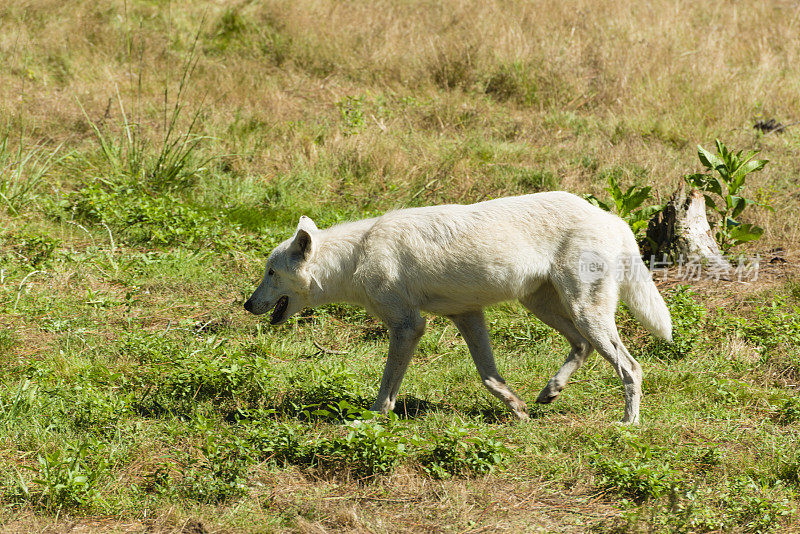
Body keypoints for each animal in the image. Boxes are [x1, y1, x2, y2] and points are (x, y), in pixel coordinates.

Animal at [244, 192, 668, 422]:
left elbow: (387, 388)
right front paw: (518, 410)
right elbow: (490, 377)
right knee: (580, 347)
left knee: (631, 367)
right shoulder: (466, 314)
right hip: (544, 308)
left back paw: (628, 424)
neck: (356, 258)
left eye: (270, 273)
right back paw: (550, 392)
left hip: (584, 312)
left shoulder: (409, 327)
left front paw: (372, 420)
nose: (247, 304)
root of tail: (613, 217)